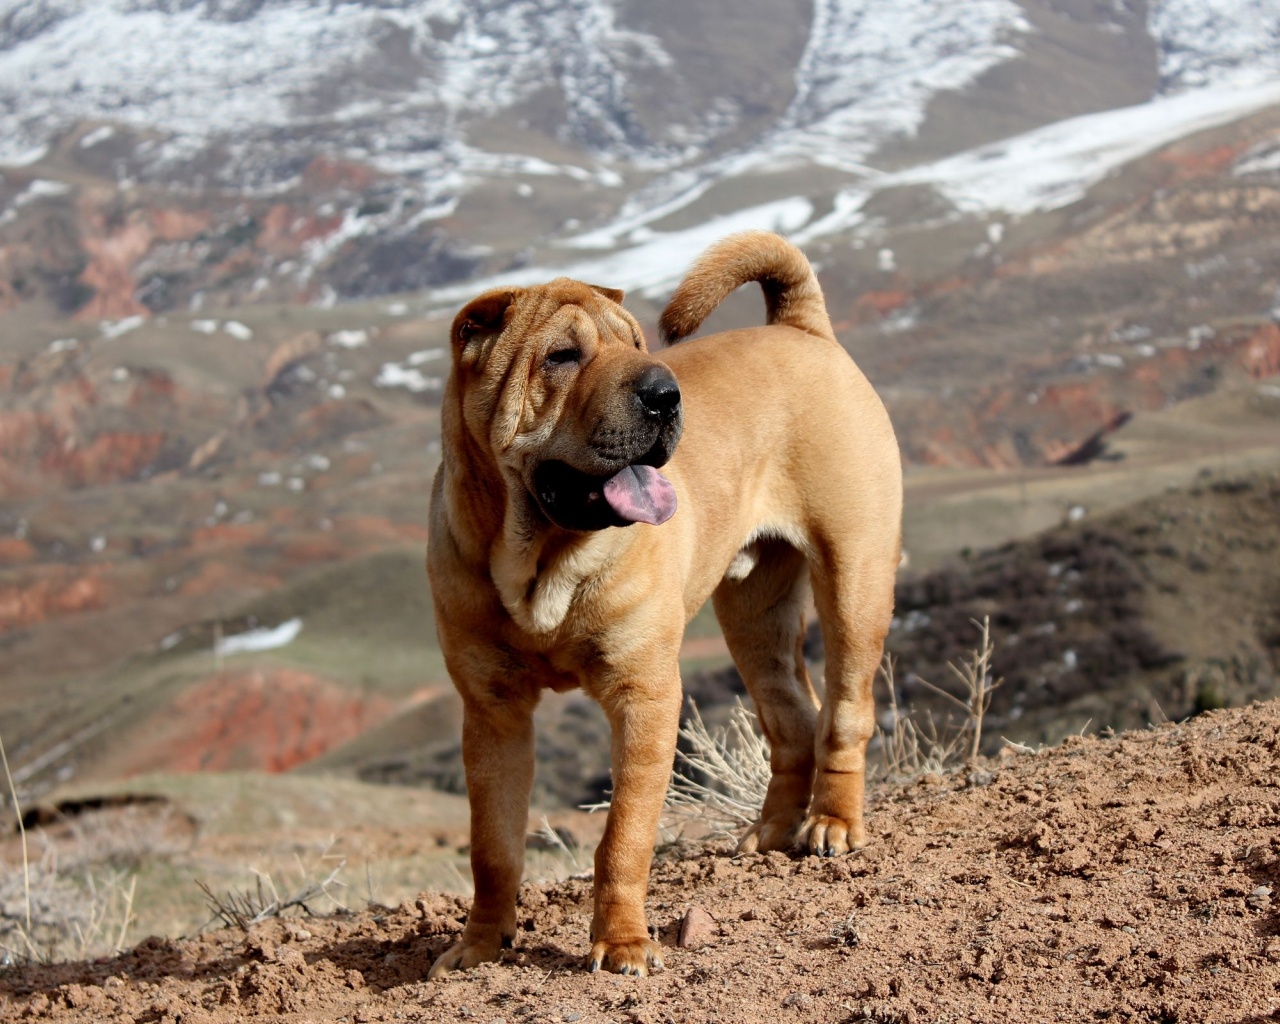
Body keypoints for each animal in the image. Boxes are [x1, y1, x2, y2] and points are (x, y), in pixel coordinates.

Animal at [430, 230, 901, 977]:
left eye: (635, 344)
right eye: (562, 356)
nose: (663, 393)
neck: (541, 560)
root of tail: (803, 330)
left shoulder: (643, 694)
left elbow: (622, 835)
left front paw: (623, 945)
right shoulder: (493, 712)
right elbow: (492, 845)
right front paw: (477, 946)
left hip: (855, 580)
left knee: (847, 711)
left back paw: (832, 824)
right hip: (754, 617)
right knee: (792, 719)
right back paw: (770, 833)